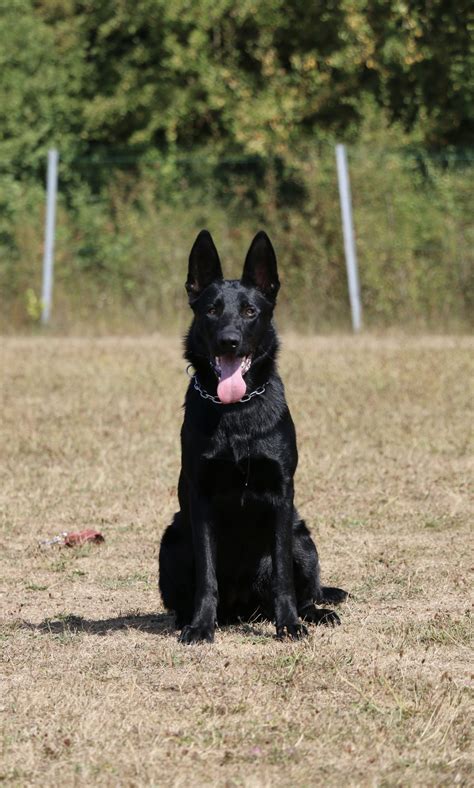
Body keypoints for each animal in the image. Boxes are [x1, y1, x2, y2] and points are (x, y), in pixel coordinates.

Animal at [159, 231, 348, 644]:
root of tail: (245, 609)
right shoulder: (201, 500)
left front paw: (289, 624)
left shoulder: (280, 496)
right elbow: (207, 576)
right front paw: (201, 625)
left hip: (302, 537)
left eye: (249, 312)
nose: (229, 341)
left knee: (304, 590)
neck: (236, 413)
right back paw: (189, 618)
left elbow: (282, 577)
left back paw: (315, 613)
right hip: (172, 540)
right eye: (211, 310)